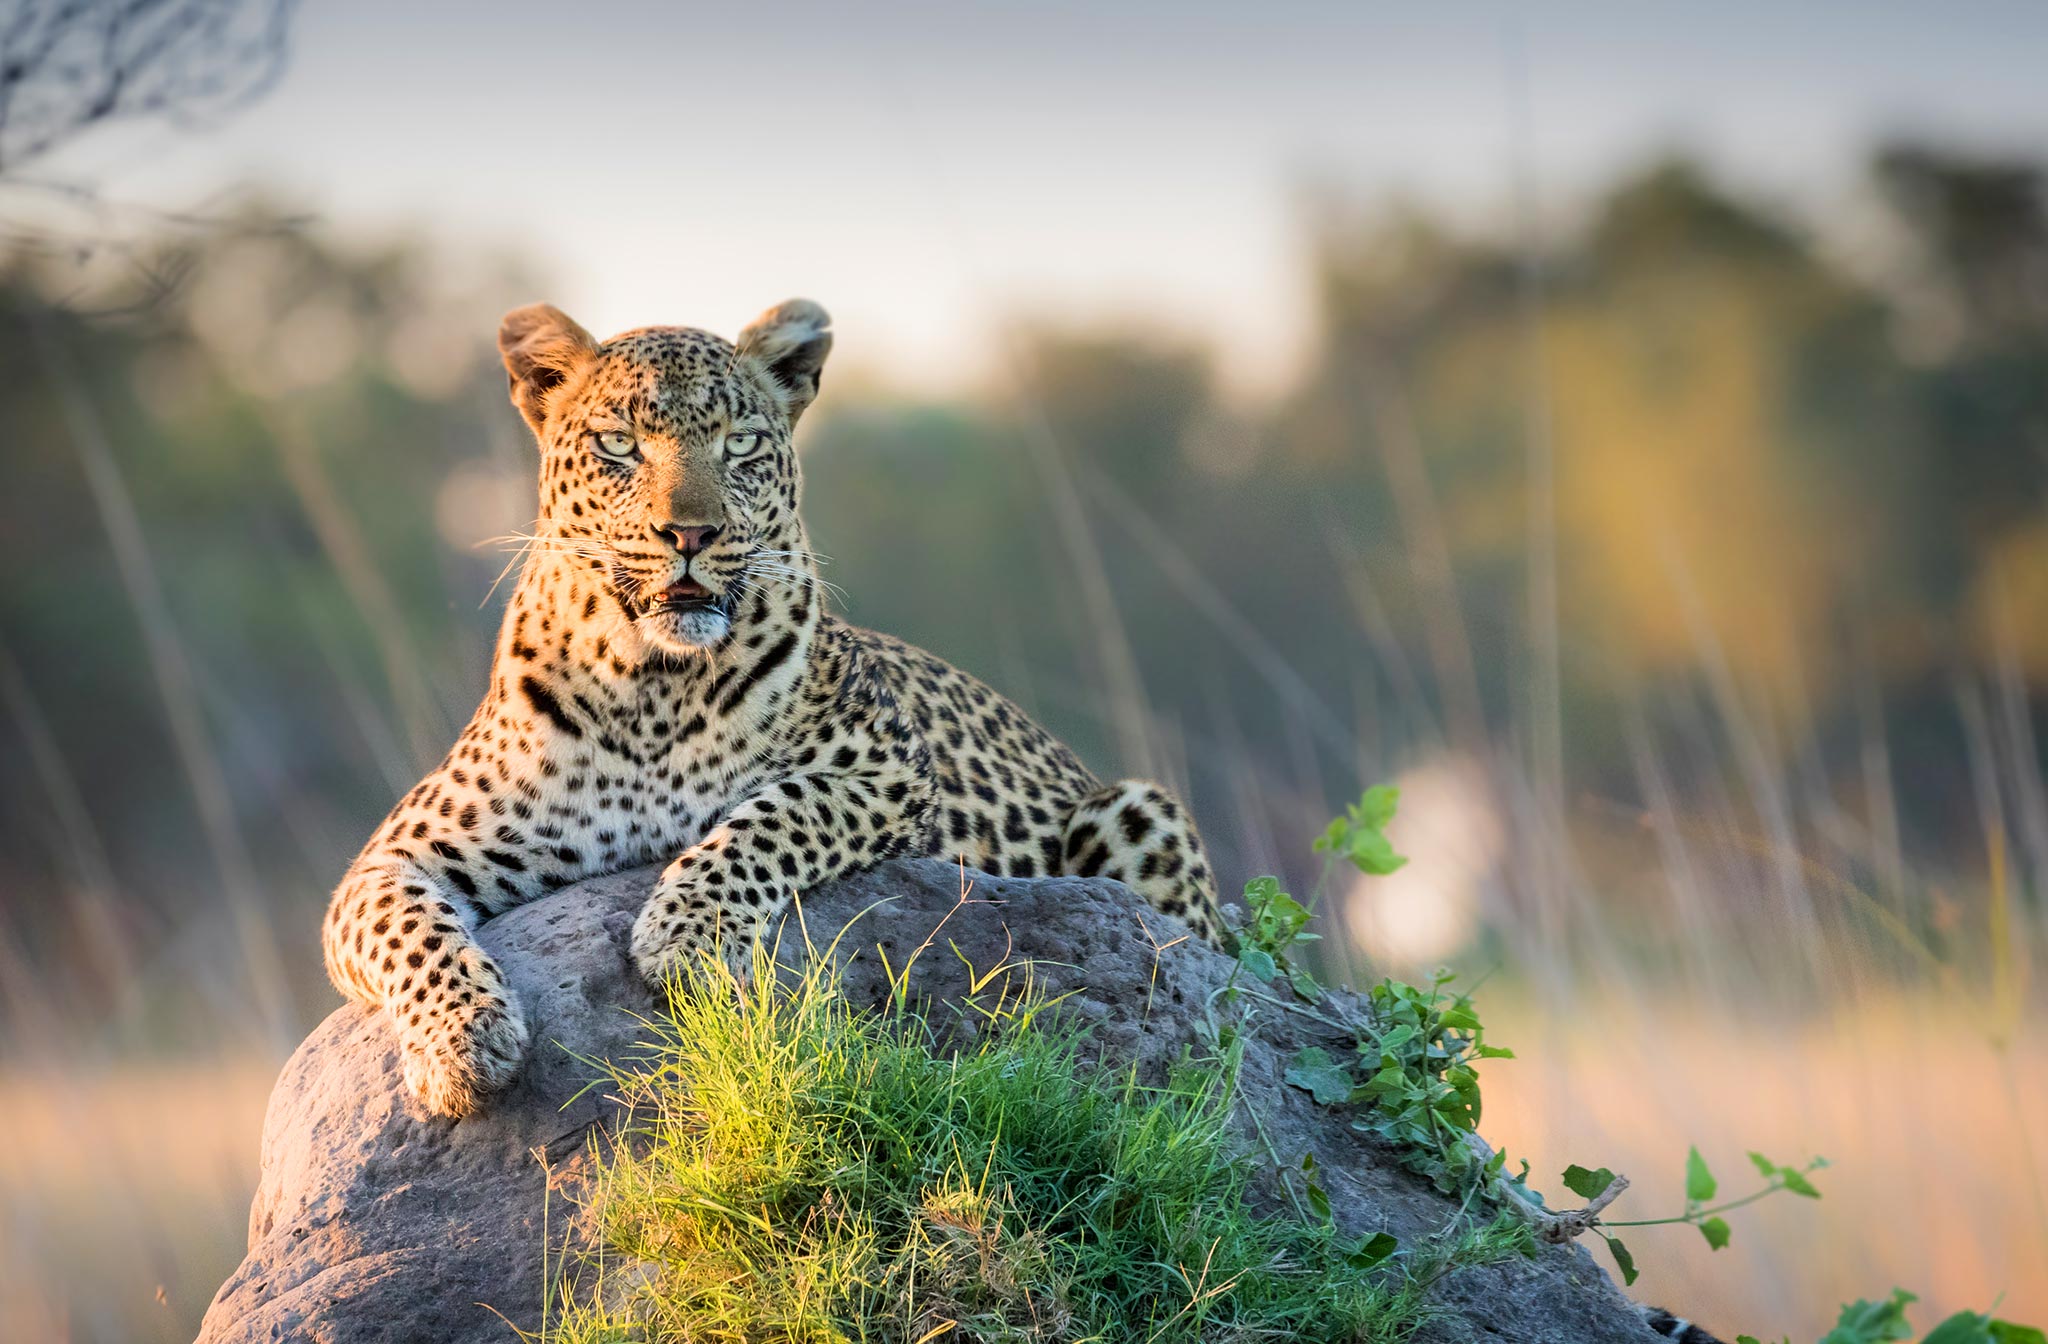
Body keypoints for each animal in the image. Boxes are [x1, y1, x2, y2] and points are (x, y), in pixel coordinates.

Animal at [317, 299, 1212, 1114]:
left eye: (740, 443)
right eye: (619, 443)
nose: (690, 534)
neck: (650, 681)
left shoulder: (888, 768)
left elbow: (772, 816)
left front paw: (687, 936)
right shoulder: (396, 854)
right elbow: (403, 927)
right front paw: (461, 1043)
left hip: (1138, 812)